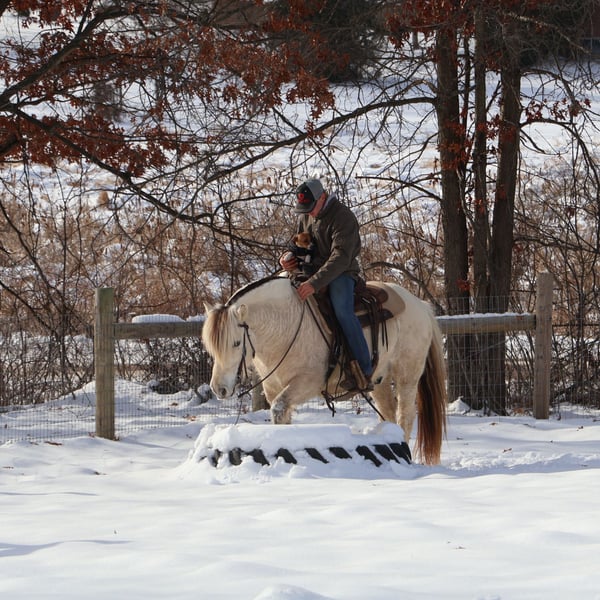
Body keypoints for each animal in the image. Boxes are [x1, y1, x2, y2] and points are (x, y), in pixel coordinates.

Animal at [202, 276, 447, 465]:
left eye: (236, 343)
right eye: (211, 347)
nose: (219, 389)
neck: (283, 324)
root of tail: (420, 305)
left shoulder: (307, 383)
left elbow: (279, 409)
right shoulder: (272, 387)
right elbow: (281, 415)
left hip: (408, 374)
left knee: (405, 413)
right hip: (380, 380)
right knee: (388, 411)